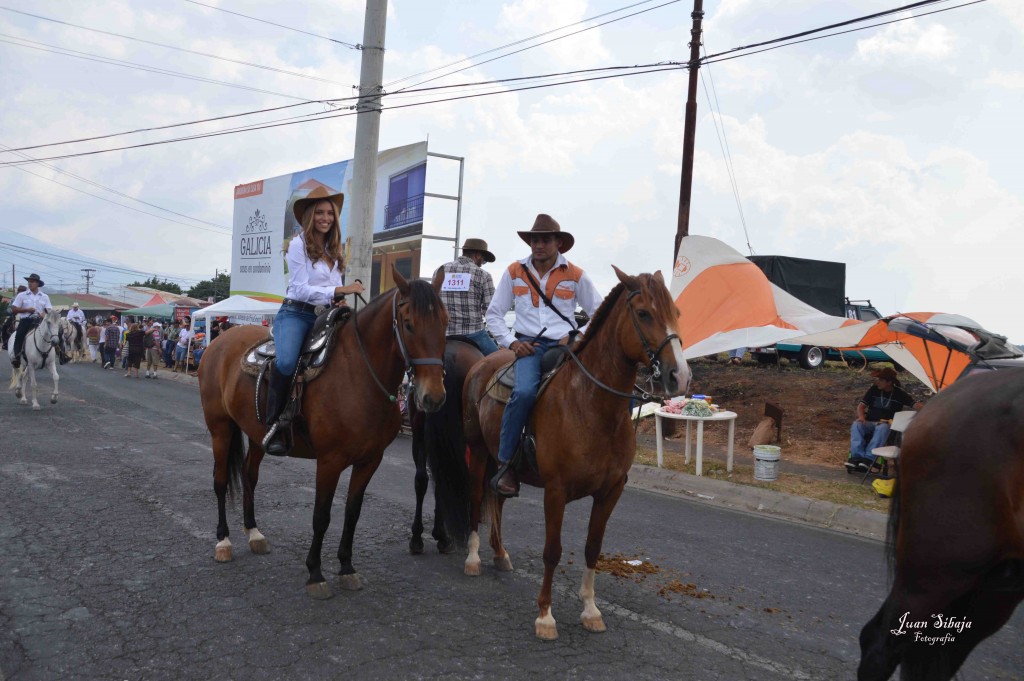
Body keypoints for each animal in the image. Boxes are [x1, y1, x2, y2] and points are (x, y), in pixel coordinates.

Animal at [197, 268, 446, 598]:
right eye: (408, 324)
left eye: (445, 322)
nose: (434, 397)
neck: (359, 374)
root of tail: (219, 341)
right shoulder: (330, 461)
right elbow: (321, 515)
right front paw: (315, 573)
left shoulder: (370, 460)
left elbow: (352, 512)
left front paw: (346, 567)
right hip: (220, 428)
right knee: (221, 481)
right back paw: (223, 541)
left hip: (256, 434)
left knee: (250, 476)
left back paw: (254, 533)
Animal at [432, 266, 688, 639]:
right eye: (643, 313)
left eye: (676, 313)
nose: (679, 375)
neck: (591, 405)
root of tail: (483, 363)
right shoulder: (556, 490)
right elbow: (552, 551)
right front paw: (545, 616)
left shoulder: (611, 491)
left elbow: (593, 547)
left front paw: (591, 610)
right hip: (477, 452)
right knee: (477, 498)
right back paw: (474, 559)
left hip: (501, 462)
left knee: (499, 500)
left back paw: (500, 554)